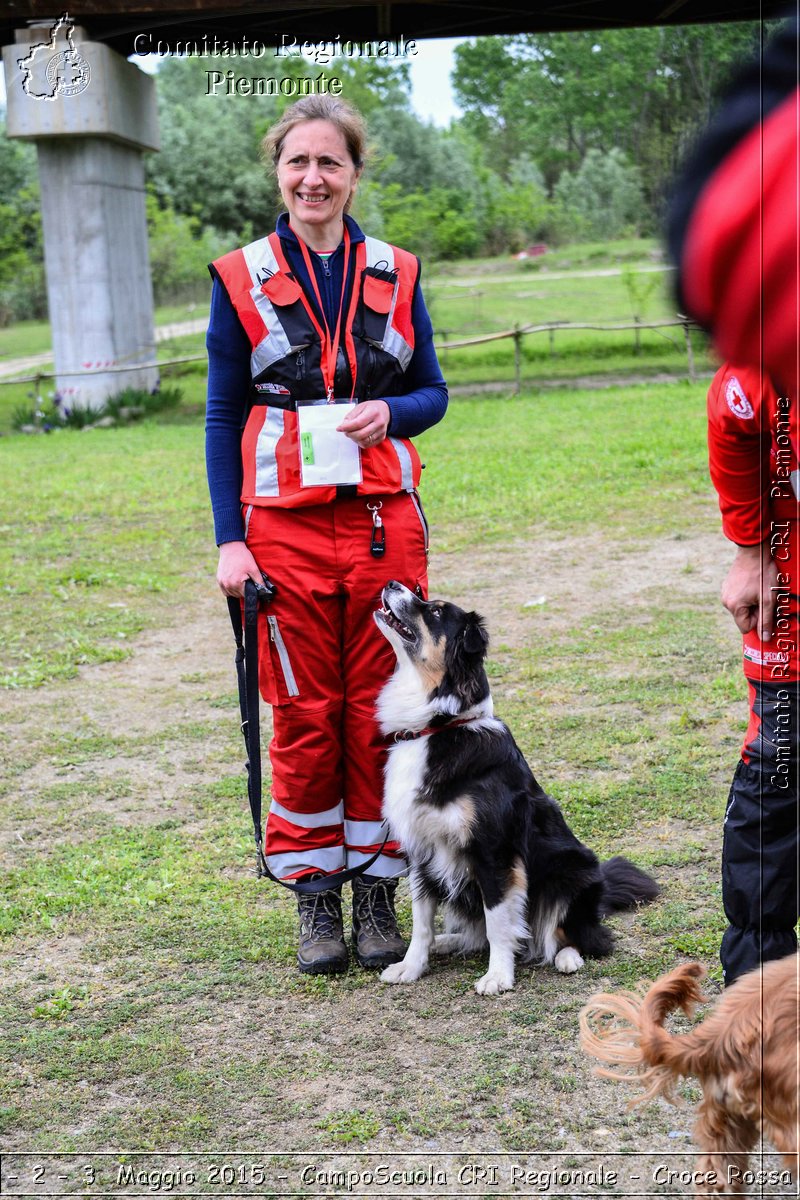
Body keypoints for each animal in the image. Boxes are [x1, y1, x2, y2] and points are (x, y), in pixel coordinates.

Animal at [374, 580, 657, 993]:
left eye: (436, 611)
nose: (392, 583)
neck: (438, 725)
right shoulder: (420, 849)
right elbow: (422, 923)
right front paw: (411, 967)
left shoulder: (494, 851)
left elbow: (498, 923)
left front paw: (498, 976)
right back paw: (449, 941)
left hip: (571, 873)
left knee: (581, 936)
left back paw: (568, 957)